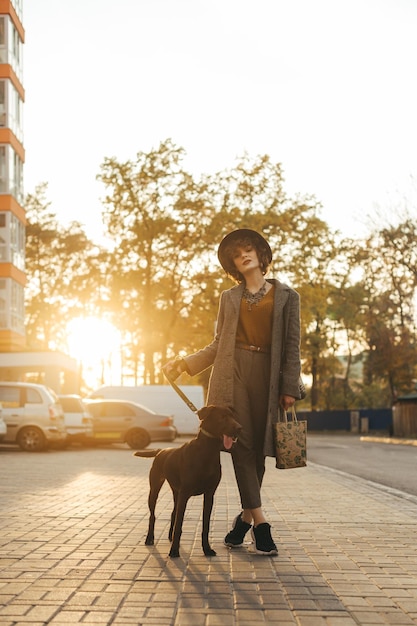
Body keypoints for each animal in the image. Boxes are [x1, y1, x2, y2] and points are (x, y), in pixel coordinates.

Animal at [134, 404, 240, 556]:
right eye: (222, 417)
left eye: (233, 417)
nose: (239, 428)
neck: (207, 451)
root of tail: (161, 450)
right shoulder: (185, 493)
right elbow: (179, 523)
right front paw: (174, 551)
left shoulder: (209, 494)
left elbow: (205, 525)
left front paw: (207, 549)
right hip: (154, 489)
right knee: (153, 515)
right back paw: (150, 538)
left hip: (176, 492)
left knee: (173, 513)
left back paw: (170, 536)